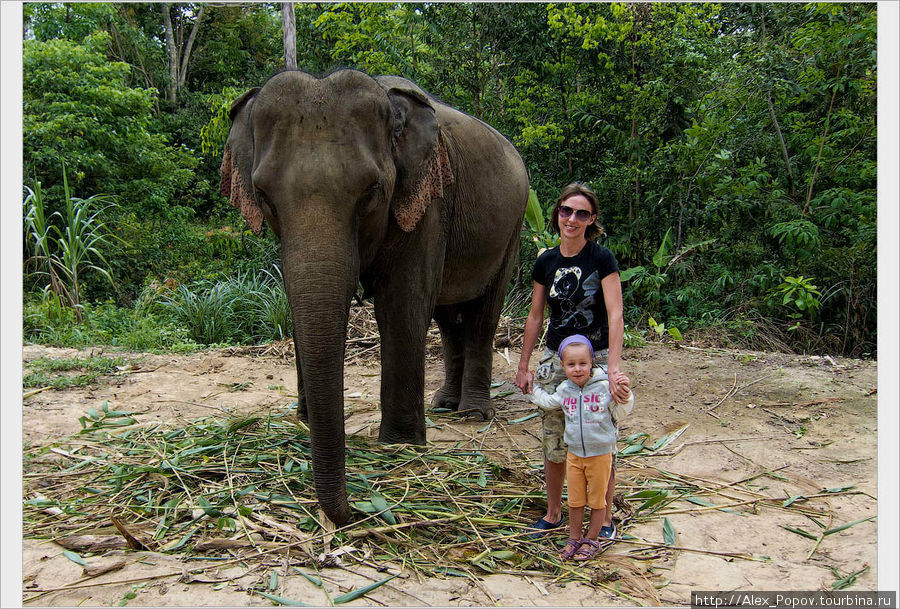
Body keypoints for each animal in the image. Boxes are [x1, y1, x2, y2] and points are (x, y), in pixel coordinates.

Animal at [220, 67, 528, 524]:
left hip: (513, 228)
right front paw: (304, 419)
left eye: (371, 191)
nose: (354, 512)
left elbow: (402, 304)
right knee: (446, 319)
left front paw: (400, 446)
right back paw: (443, 405)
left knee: (482, 316)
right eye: (264, 196)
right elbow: (296, 298)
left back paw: (472, 414)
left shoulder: (427, 203)